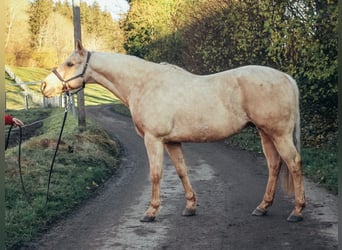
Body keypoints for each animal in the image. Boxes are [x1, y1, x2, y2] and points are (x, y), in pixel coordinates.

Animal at [41, 40, 306, 223]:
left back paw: (297, 210)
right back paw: (263, 207)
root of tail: (286, 77)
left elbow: (156, 174)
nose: (45, 86)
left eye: (70, 63)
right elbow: (181, 171)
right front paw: (190, 207)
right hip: (265, 132)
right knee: (274, 165)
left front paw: (151, 212)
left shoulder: (153, 140)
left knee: (293, 163)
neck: (143, 84)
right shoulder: (171, 142)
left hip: (278, 133)